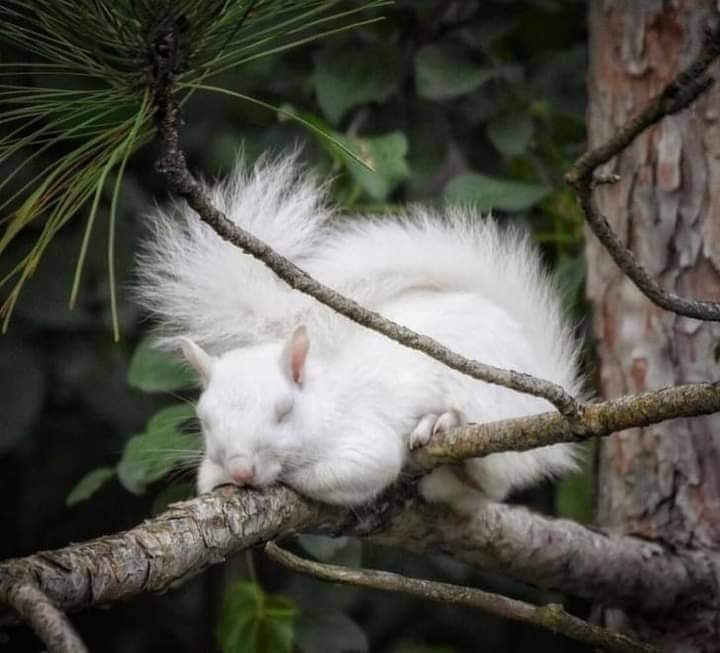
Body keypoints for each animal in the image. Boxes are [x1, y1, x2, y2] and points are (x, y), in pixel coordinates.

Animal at [136, 154, 584, 510]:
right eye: (204, 420)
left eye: (284, 413)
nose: (242, 469)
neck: (323, 399)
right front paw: (218, 475)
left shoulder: (364, 441)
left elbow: (357, 470)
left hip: (491, 409)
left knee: (494, 480)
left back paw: (441, 423)